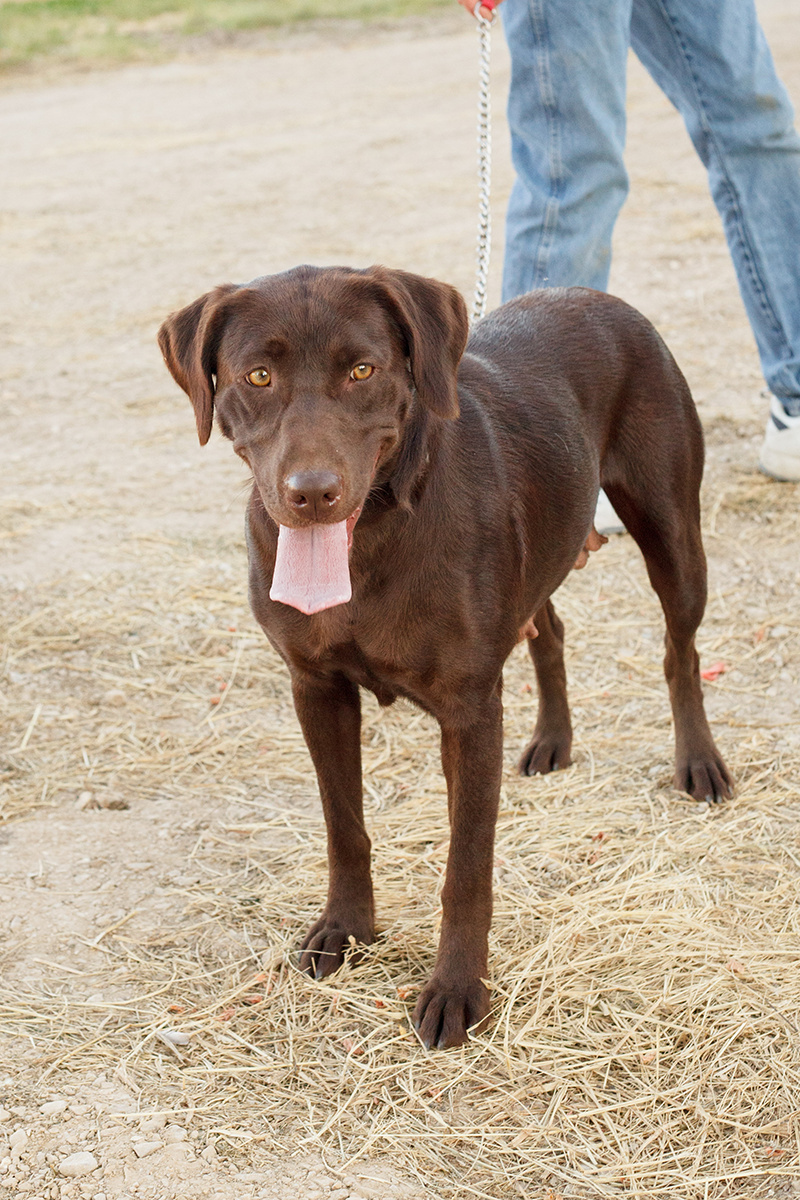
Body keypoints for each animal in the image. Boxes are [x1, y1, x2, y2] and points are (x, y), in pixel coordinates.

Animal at [159, 265, 734, 1051]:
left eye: (363, 370)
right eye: (258, 375)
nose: (313, 494)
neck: (370, 541)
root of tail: (595, 295)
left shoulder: (469, 712)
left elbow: (466, 866)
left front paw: (459, 990)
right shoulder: (315, 688)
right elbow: (343, 824)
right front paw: (347, 929)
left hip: (672, 532)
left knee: (681, 651)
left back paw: (698, 761)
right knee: (550, 629)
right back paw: (552, 740)